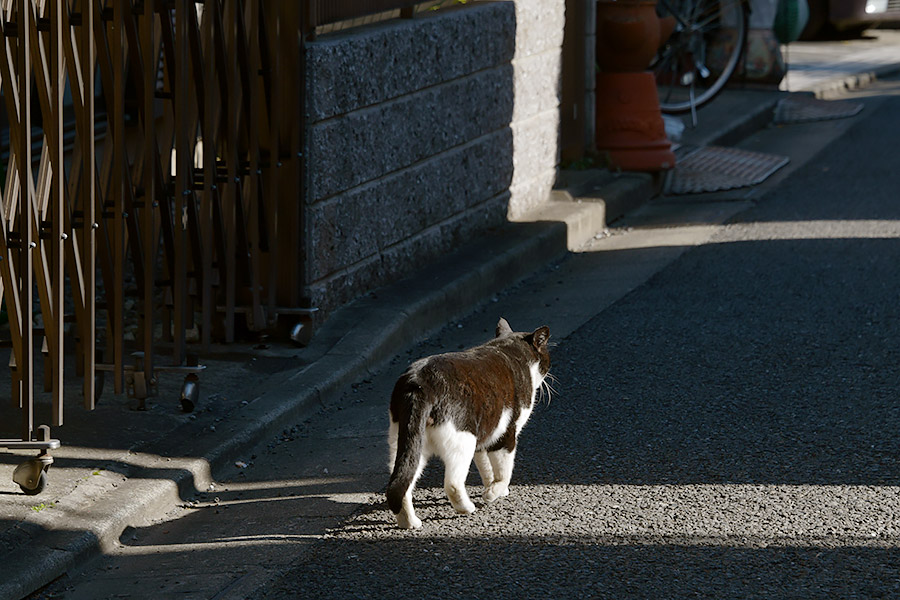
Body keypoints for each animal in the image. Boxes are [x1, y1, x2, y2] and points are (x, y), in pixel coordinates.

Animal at [384, 316, 548, 528]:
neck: (508, 349)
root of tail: (418, 385)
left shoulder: (485, 436)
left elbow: (486, 467)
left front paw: (491, 488)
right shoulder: (505, 433)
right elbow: (503, 470)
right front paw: (494, 492)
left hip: (407, 442)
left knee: (401, 481)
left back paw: (409, 522)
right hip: (462, 440)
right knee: (452, 483)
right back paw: (467, 508)